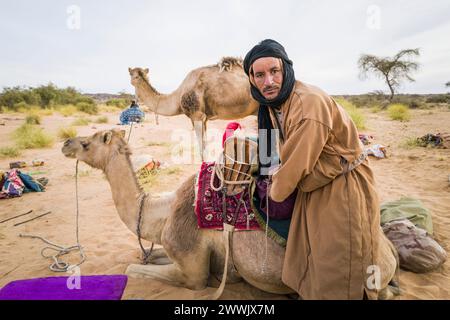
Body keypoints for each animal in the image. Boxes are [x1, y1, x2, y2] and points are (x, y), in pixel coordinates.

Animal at [61, 129, 400, 298]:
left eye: (87, 142)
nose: (65, 143)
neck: (163, 213)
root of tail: (388, 253)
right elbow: (142, 257)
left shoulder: (192, 270)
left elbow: (133, 269)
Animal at [128, 57, 258, 160]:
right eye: (134, 75)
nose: (137, 79)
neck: (178, 97)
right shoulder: (204, 119)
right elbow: (205, 145)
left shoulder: (197, 115)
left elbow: (202, 149)